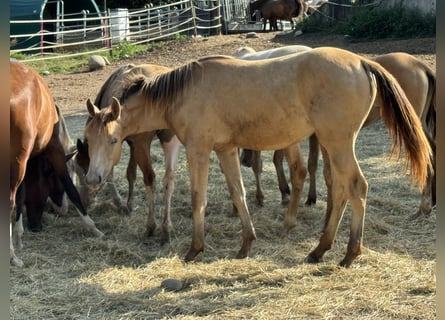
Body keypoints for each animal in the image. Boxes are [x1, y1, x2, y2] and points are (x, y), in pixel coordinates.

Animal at [10, 62, 102, 268]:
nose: (36, 227)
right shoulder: (54, 149)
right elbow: (71, 188)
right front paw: (93, 227)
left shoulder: (24, 160)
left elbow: (21, 195)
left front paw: (19, 237)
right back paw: (12, 256)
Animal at [74, 63, 180, 244]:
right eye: (89, 139)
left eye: (82, 167)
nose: (92, 180)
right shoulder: (134, 144)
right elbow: (131, 173)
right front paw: (129, 204)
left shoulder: (131, 145)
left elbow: (114, 173)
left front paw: (122, 204)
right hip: (169, 139)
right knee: (168, 180)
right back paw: (167, 228)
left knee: (150, 179)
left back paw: (151, 226)